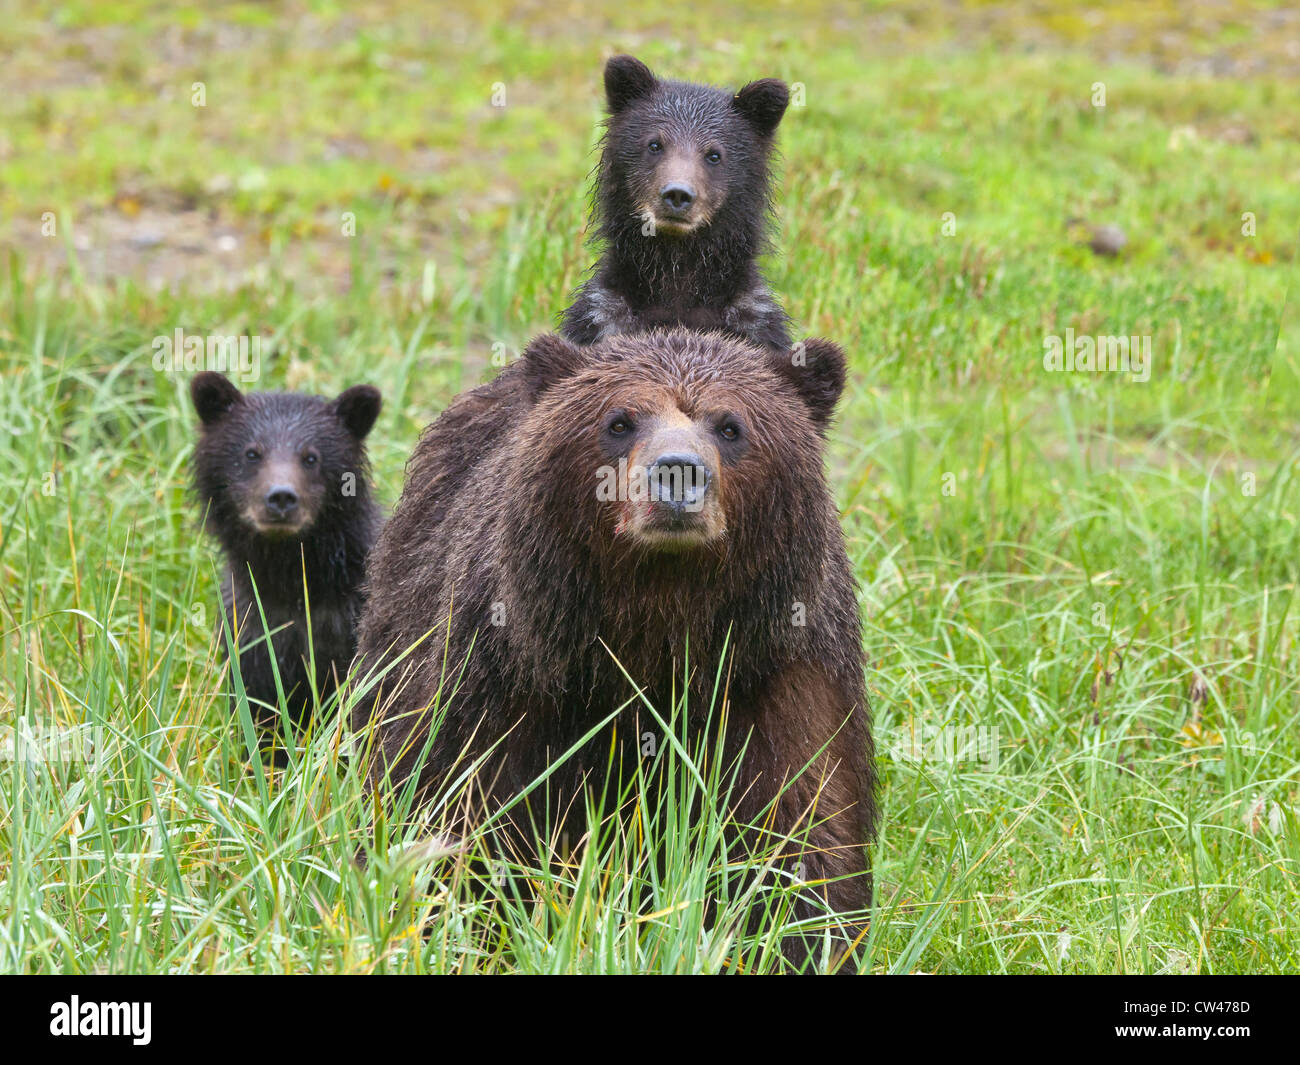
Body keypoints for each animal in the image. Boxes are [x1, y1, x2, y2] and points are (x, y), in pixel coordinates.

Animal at [354, 329, 875, 970]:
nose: (676, 473)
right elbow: (459, 813)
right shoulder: (504, 677)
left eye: (731, 426)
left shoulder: (776, 677)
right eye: (620, 421)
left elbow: (800, 839)